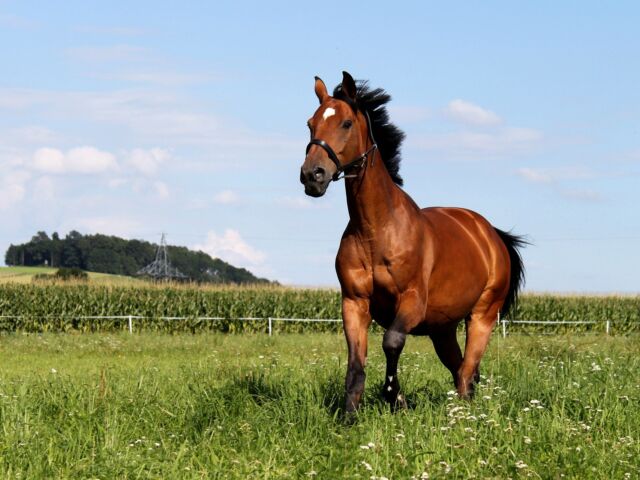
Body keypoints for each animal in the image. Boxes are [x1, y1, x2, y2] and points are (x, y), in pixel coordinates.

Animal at [300, 70, 524, 412]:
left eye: (346, 123)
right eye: (310, 123)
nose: (312, 175)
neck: (376, 232)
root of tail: (492, 234)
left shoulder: (412, 302)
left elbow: (392, 341)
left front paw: (395, 396)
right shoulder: (353, 303)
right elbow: (355, 364)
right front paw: (350, 414)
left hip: (482, 316)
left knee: (467, 370)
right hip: (443, 329)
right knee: (461, 369)